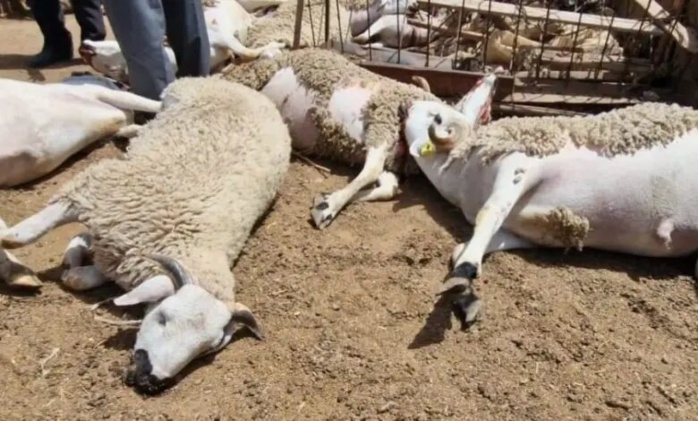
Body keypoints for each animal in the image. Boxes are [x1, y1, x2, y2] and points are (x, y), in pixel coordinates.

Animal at [221, 47, 493, 229]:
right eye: (436, 117)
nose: (404, 109)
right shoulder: (381, 125)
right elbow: (370, 171)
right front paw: (329, 207)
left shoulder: (390, 156)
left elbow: (388, 188)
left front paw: (325, 200)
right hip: (257, 74)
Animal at [403, 81, 698, 330]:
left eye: (435, 113)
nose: (408, 106)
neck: (461, 177)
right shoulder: (527, 233)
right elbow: (466, 246)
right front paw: (466, 289)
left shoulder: (519, 165)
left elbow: (490, 213)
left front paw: (464, 272)